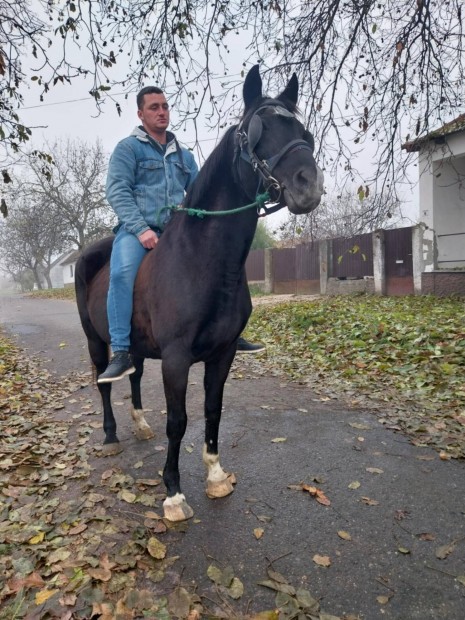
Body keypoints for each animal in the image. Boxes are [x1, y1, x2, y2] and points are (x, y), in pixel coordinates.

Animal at [76, 65, 322, 520]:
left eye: (302, 130)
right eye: (255, 133)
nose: (308, 185)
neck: (202, 262)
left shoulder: (222, 354)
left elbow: (212, 410)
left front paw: (215, 476)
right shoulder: (176, 359)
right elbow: (178, 421)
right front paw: (173, 493)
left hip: (138, 345)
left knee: (134, 376)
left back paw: (139, 425)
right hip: (95, 341)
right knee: (104, 381)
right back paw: (112, 435)